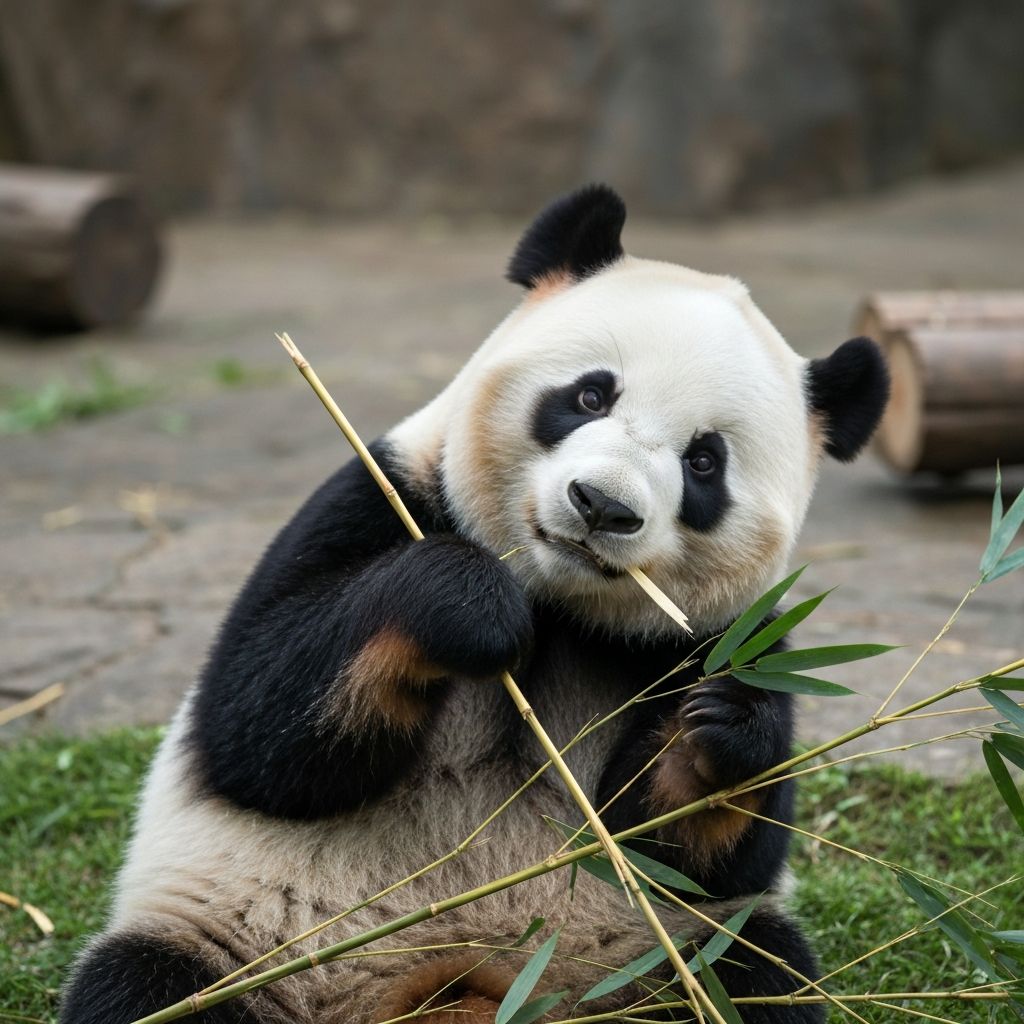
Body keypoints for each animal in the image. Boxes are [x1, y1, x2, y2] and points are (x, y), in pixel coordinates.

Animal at [61, 185, 889, 1024]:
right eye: (590, 394)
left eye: (704, 462)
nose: (601, 504)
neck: (556, 602)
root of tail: (463, 994)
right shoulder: (389, 491)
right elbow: (259, 722)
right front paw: (469, 606)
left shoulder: (722, 634)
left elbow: (689, 850)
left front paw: (721, 728)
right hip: (246, 942)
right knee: (148, 985)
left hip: (661, 957)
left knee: (758, 974)